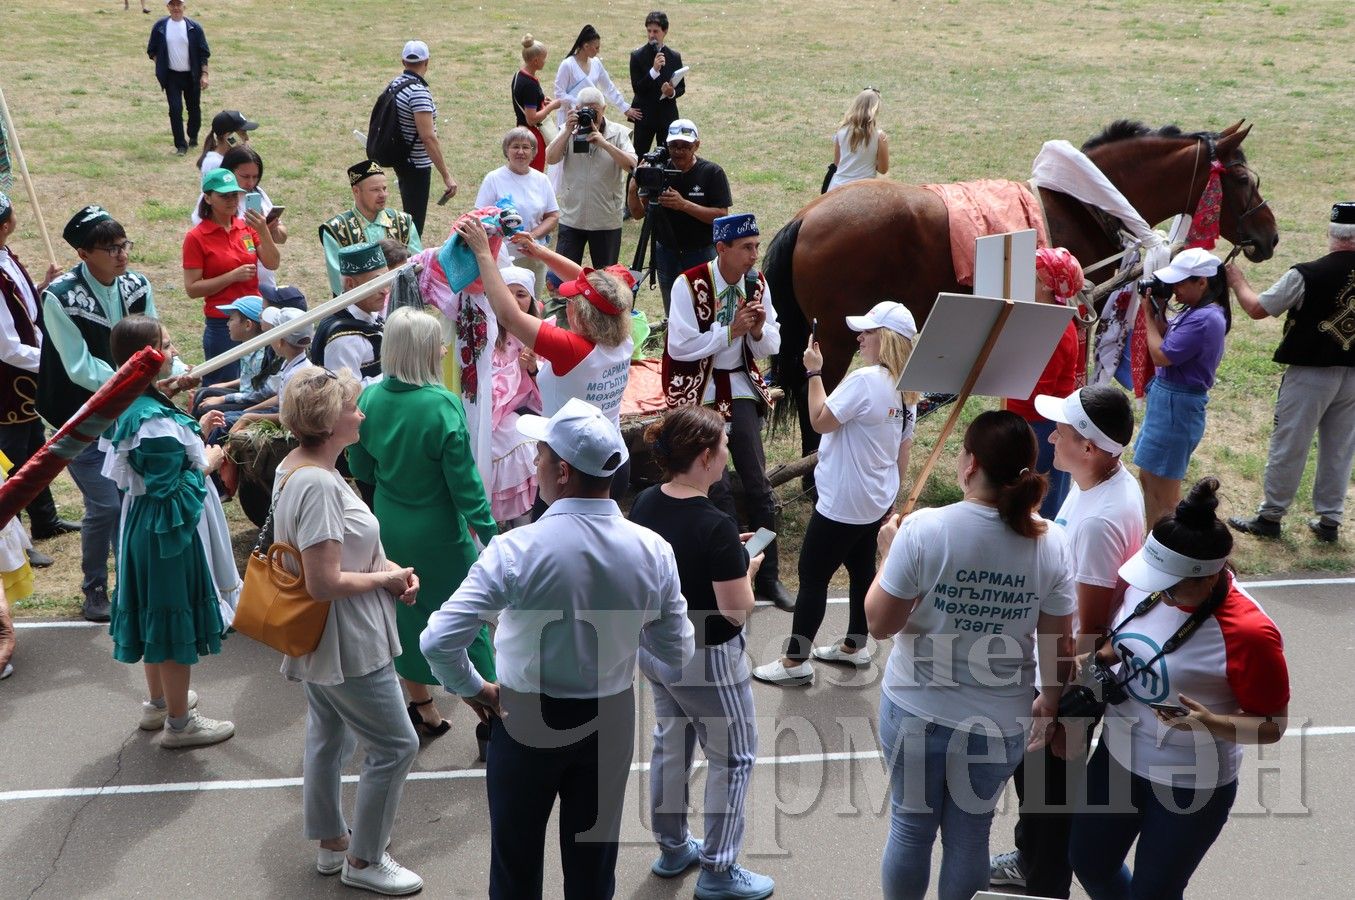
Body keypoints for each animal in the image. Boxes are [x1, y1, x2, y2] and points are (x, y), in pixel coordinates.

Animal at [769, 121, 1273, 458]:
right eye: (1243, 180)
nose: (1269, 236)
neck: (1083, 203)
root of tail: (806, 216)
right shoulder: (1077, 310)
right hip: (834, 340)